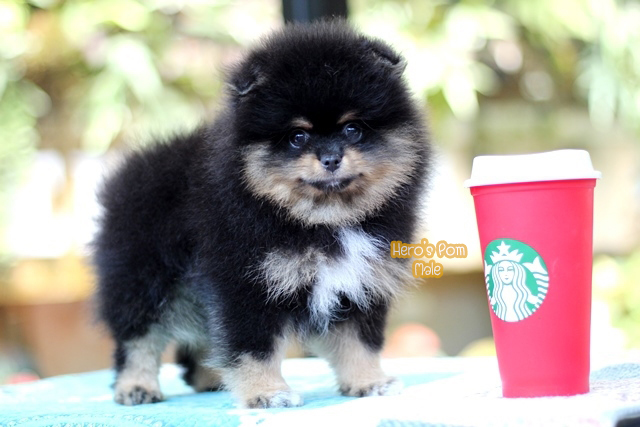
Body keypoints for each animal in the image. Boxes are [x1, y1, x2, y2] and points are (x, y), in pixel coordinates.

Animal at [92, 19, 431, 408]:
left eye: (352, 128)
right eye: (297, 136)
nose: (331, 158)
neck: (322, 221)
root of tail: (128, 173)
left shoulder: (358, 283)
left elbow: (359, 342)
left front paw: (369, 381)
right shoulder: (246, 283)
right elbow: (254, 348)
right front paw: (267, 393)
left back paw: (211, 379)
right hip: (141, 280)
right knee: (137, 338)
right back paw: (136, 386)